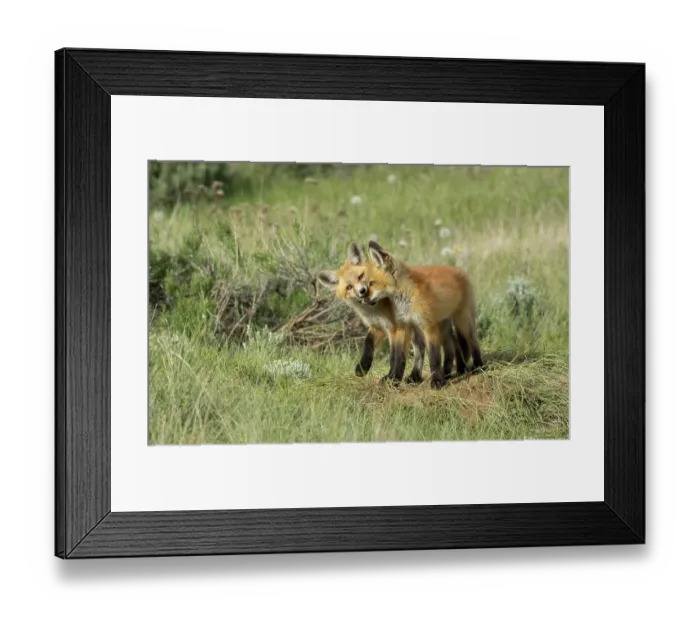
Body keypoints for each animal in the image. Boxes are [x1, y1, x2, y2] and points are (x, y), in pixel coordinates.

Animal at [316, 243, 457, 385]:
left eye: (361, 276)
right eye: (349, 287)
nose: (362, 291)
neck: (374, 309)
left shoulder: (396, 327)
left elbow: (395, 356)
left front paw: (393, 378)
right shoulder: (377, 326)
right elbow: (368, 343)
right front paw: (363, 367)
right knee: (421, 349)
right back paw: (415, 376)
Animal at [366, 239, 484, 390]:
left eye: (372, 283)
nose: (362, 298)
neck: (406, 298)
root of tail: (460, 270)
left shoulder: (428, 326)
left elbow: (433, 357)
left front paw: (437, 382)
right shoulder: (405, 326)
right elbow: (399, 357)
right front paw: (394, 379)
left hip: (462, 321)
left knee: (472, 340)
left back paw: (478, 366)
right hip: (442, 326)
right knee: (453, 345)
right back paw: (453, 371)